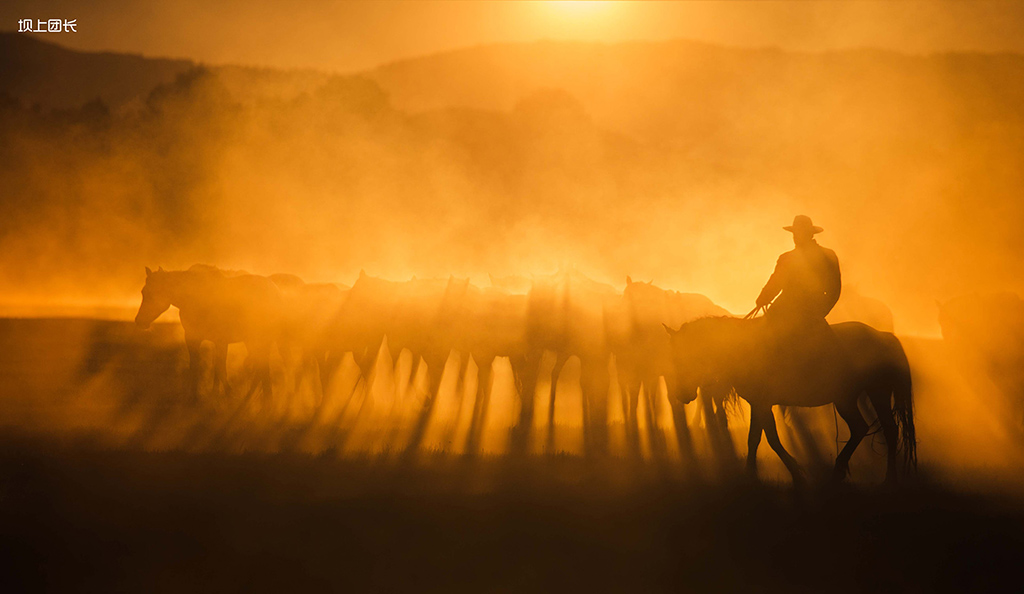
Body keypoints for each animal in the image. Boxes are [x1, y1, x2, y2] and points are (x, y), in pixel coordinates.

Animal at [134, 266, 284, 401]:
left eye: (153, 292)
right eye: (143, 291)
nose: (139, 321)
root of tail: (275, 290)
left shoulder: (221, 340)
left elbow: (220, 368)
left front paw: (228, 393)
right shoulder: (193, 338)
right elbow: (197, 366)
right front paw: (195, 396)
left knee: (262, 367)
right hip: (254, 340)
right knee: (261, 367)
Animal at [667, 317, 917, 485]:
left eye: (686, 356)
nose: (682, 395)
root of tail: (885, 337)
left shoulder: (763, 402)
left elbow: (769, 439)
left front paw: (793, 473)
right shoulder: (759, 403)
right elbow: (757, 438)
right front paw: (752, 474)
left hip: (860, 395)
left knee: (868, 428)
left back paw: (855, 474)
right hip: (862, 395)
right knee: (882, 429)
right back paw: (879, 476)